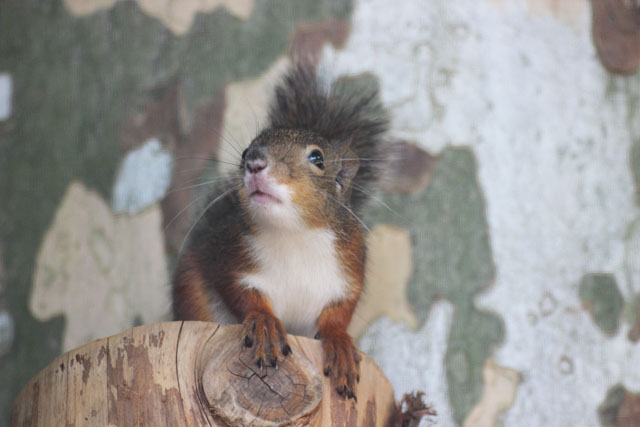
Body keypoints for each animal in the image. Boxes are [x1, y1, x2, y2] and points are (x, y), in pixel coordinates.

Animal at [170, 64, 390, 402]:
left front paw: (338, 341)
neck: (293, 233)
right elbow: (241, 293)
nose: (254, 163)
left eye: (317, 158)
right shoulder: (230, 256)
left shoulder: (348, 267)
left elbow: (341, 310)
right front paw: (264, 322)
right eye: (245, 151)